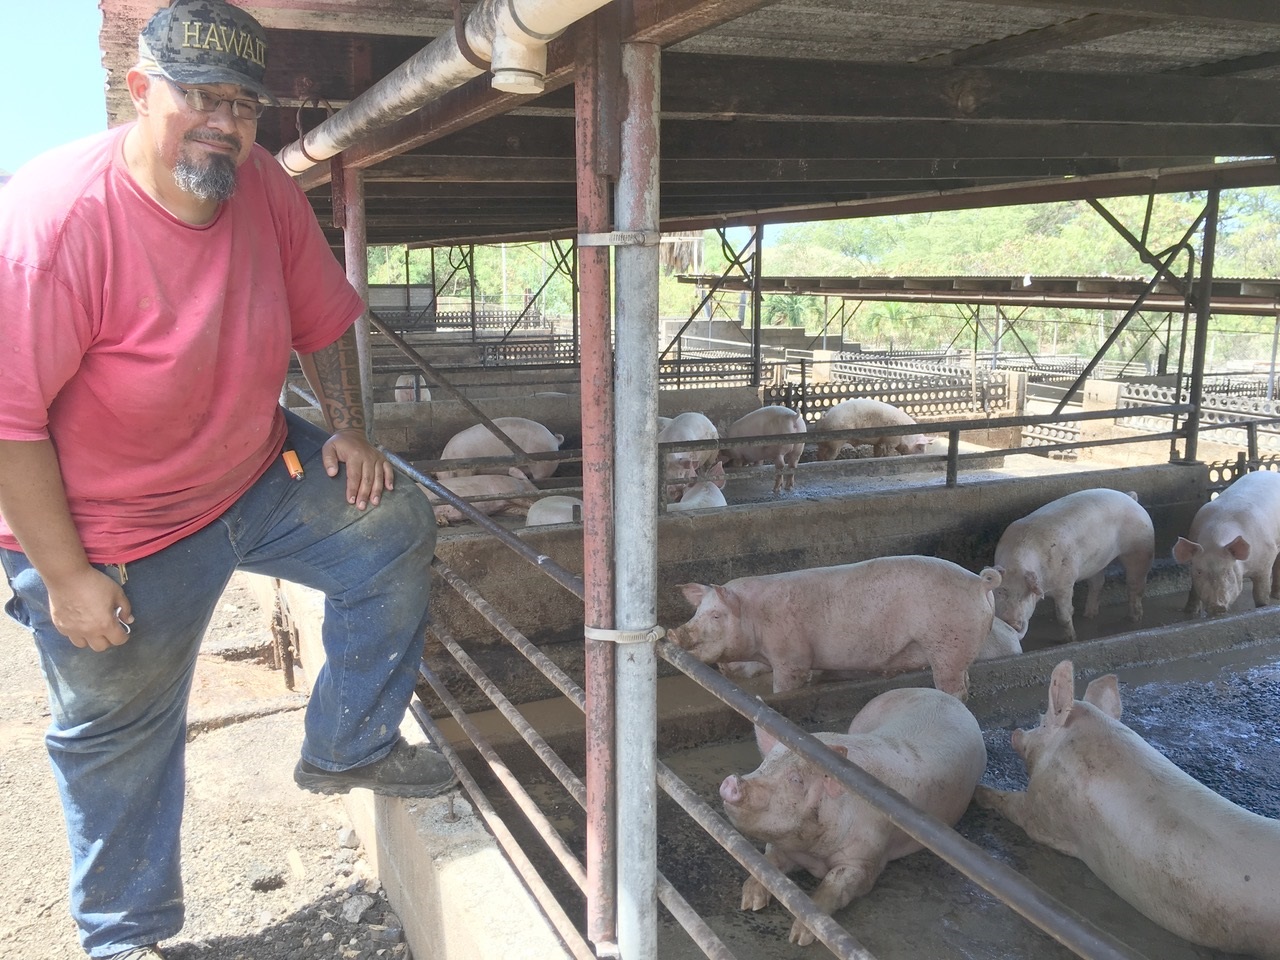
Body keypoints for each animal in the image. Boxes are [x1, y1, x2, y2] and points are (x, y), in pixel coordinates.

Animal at [665, 555, 1003, 701]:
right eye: (698, 612)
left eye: (716, 616)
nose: (674, 632)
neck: (757, 618)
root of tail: (979, 583)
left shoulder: (793, 658)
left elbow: (786, 684)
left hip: (947, 644)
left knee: (953, 687)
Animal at [721, 691, 988, 947]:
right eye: (764, 765)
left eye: (796, 779)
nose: (732, 781)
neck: (814, 852)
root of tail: (941, 694)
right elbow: (768, 861)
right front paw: (750, 902)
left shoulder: (866, 859)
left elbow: (833, 884)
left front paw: (800, 937)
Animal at [988, 491, 1162, 642]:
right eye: (1000, 592)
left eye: (1025, 595)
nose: (1012, 624)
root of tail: (1131, 498)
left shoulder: (1065, 582)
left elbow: (1064, 615)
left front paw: (1070, 640)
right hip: (1096, 561)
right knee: (1097, 583)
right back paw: (1089, 615)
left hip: (1139, 550)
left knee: (1135, 585)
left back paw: (1133, 618)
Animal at [1172, 471, 1280, 616]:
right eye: (1199, 572)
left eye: (1228, 572)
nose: (1217, 606)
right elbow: (1194, 589)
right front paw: (1190, 612)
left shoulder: (1266, 561)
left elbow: (1260, 593)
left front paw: (1262, 608)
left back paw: (1277, 596)